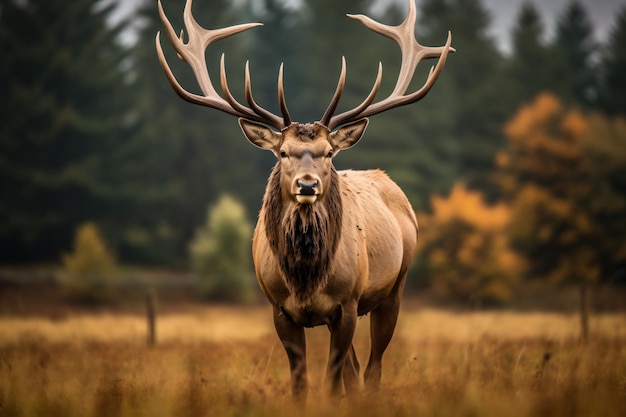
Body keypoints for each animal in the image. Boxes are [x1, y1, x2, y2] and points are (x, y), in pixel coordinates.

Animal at [154, 0, 450, 400]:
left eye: (328, 153)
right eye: (282, 152)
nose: (307, 185)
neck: (305, 279)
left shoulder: (346, 303)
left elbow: (332, 381)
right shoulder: (279, 308)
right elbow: (301, 381)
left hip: (393, 288)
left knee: (373, 367)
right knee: (356, 369)